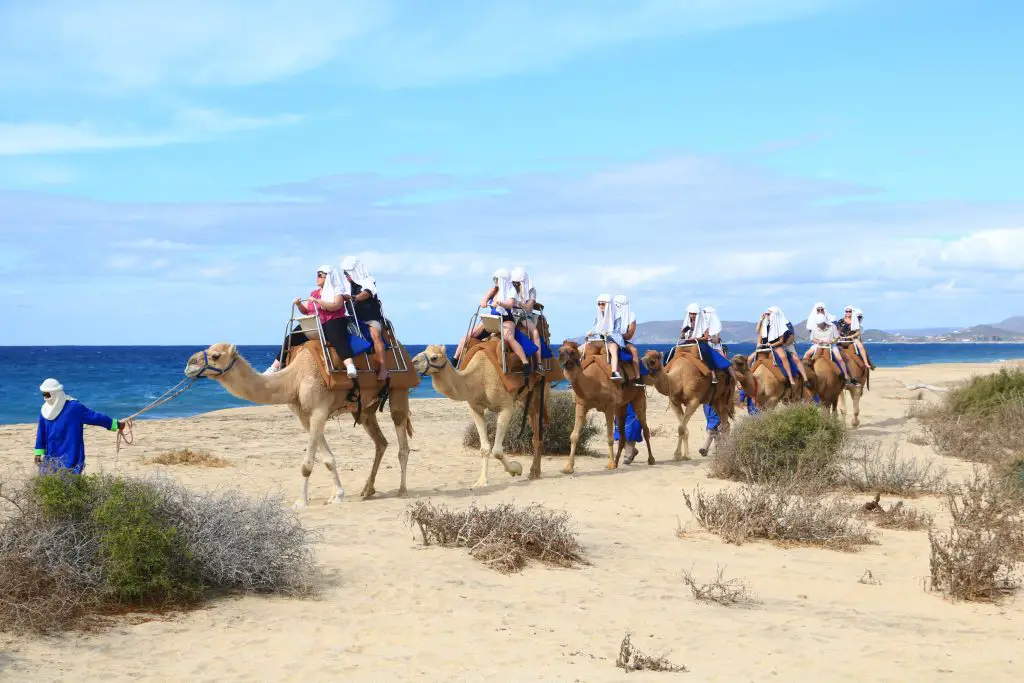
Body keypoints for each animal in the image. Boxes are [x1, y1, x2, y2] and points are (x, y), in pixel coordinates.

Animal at [184, 342, 411, 507]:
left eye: (216, 355)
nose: (189, 363)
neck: (294, 379)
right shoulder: (305, 417)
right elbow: (328, 459)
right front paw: (336, 495)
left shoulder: (319, 411)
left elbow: (307, 465)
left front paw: (302, 501)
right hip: (364, 410)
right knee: (380, 442)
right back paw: (367, 490)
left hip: (399, 391)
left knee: (402, 444)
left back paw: (402, 490)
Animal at [409, 348, 557, 485]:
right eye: (425, 349)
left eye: (434, 357)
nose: (413, 362)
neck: (479, 376)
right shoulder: (475, 408)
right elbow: (485, 448)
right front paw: (482, 481)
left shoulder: (506, 407)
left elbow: (497, 451)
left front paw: (516, 469)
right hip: (524, 397)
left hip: (540, 389)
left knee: (537, 429)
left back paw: (534, 472)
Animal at [557, 342, 651, 475]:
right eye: (559, 350)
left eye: (573, 352)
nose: (561, 356)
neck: (593, 382)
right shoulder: (581, 405)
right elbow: (574, 435)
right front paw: (568, 467)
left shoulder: (609, 407)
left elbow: (610, 436)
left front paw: (610, 464)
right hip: (621, 406)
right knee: (622, 433)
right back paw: (617, 462)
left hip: (639, 397)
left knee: (645, 427)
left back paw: (651, 459)